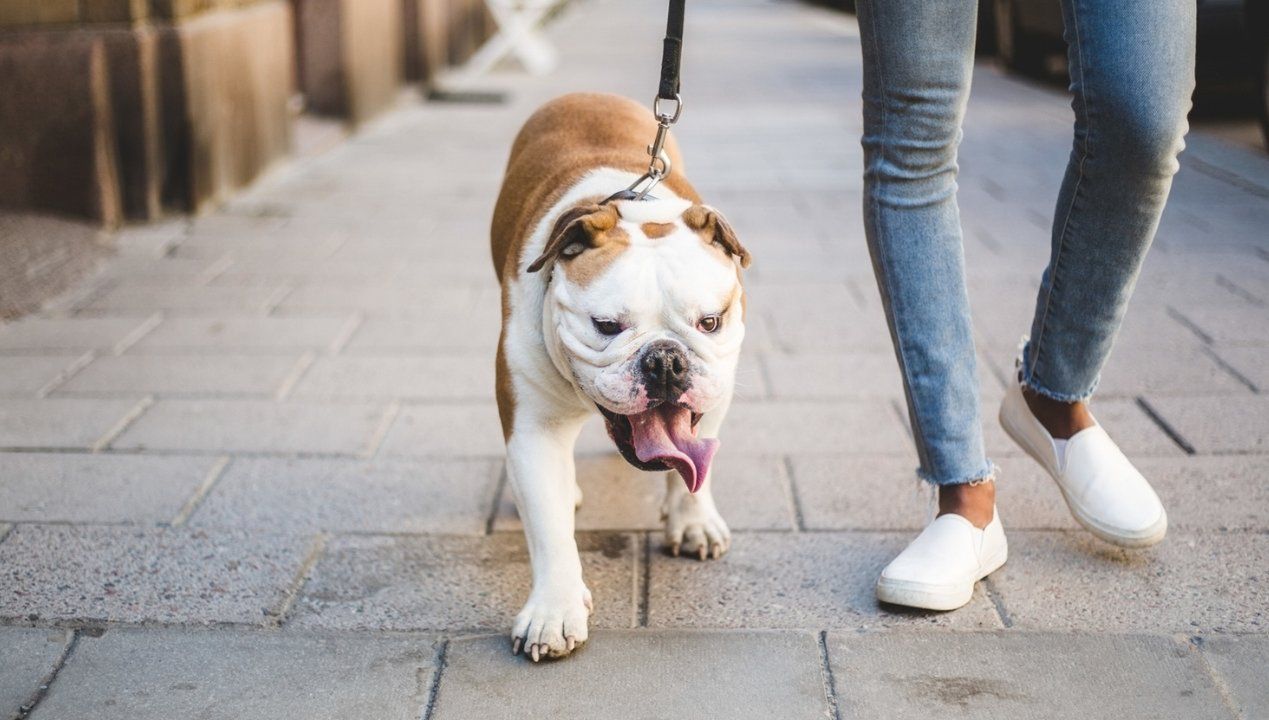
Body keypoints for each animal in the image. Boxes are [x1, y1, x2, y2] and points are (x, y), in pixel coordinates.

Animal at [492, 92, 751, 660]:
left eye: (710, 322)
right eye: (607, 326)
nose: (666, 361)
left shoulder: (716, 393)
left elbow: (698, 466)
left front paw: (693, 522)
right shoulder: (533, 427)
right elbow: (549, 526)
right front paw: (554, 610)